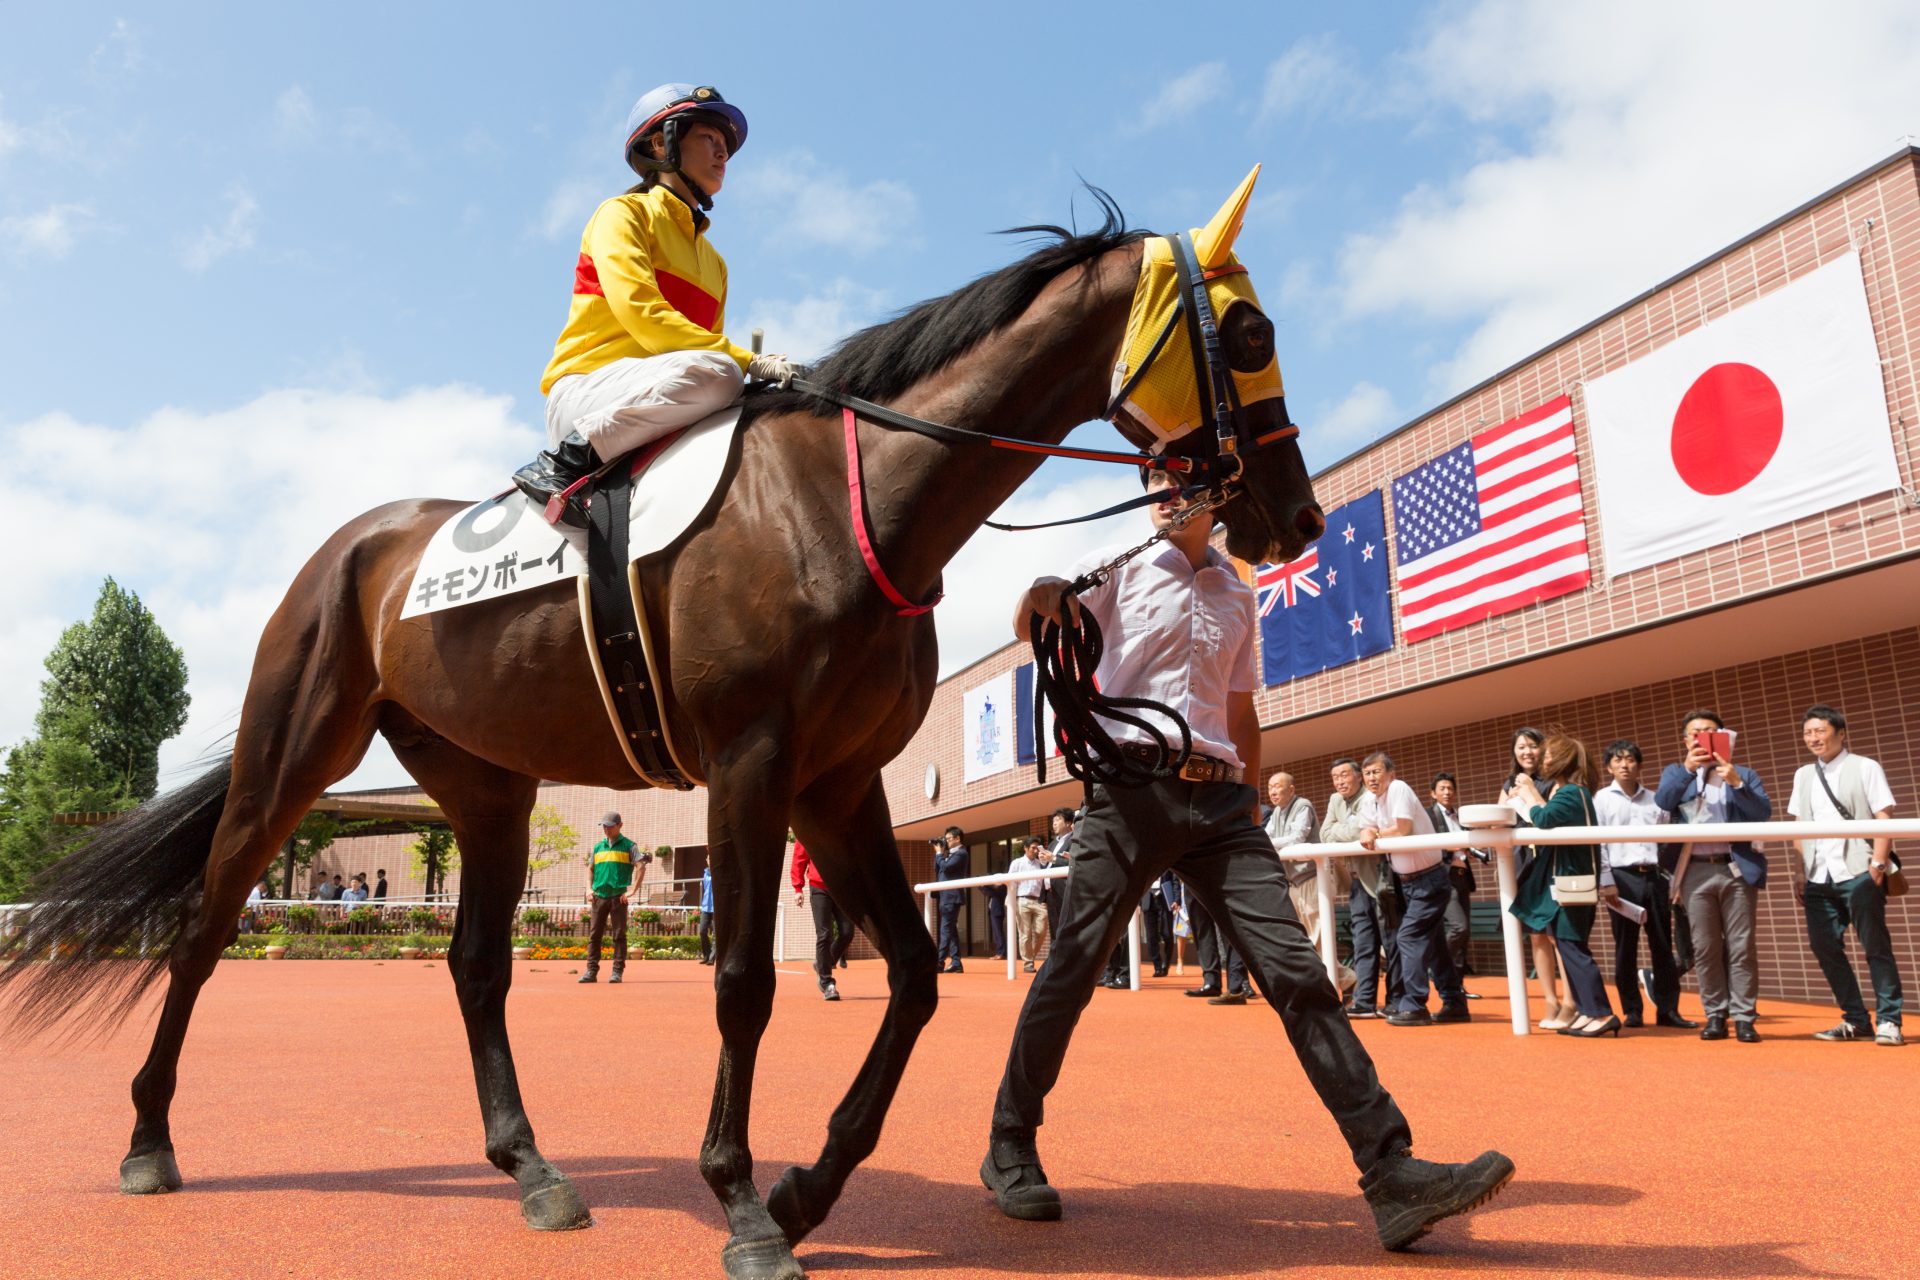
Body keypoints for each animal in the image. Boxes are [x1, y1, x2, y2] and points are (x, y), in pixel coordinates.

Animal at [3, 172, 1320, 1280]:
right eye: (1251, 334)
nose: (1295, 514)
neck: (847, 504)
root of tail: (350, 546)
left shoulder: (837, 780)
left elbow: (909, 977)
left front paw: (803, 1187)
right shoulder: (754, 764)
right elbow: (742, 979)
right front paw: (741, 1203)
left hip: (487, 785)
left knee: (475, 964)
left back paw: (533, 1169)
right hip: (293, 751)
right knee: (201, 934)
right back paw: (149, 1139)